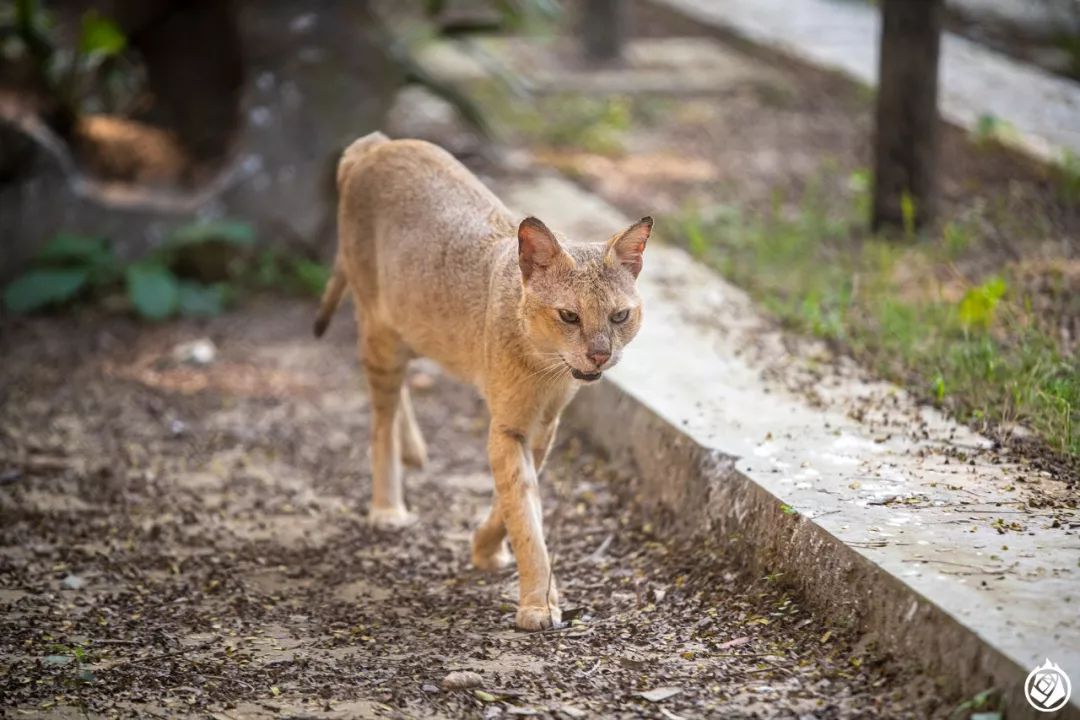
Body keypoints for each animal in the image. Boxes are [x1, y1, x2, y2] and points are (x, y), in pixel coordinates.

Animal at [313, 131, 648, 630]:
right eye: (569, 316)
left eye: (619, 316)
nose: (600, 354)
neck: (547, 370)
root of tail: (378, 143)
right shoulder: (508, 428)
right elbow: (524, 514)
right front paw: (537, 603)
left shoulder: (542, 429)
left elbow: (514, 503)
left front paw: (487, 549)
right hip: (379, 332)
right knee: (379, 418)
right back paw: (388, 505)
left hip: (411, 327)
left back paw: (413, 449)